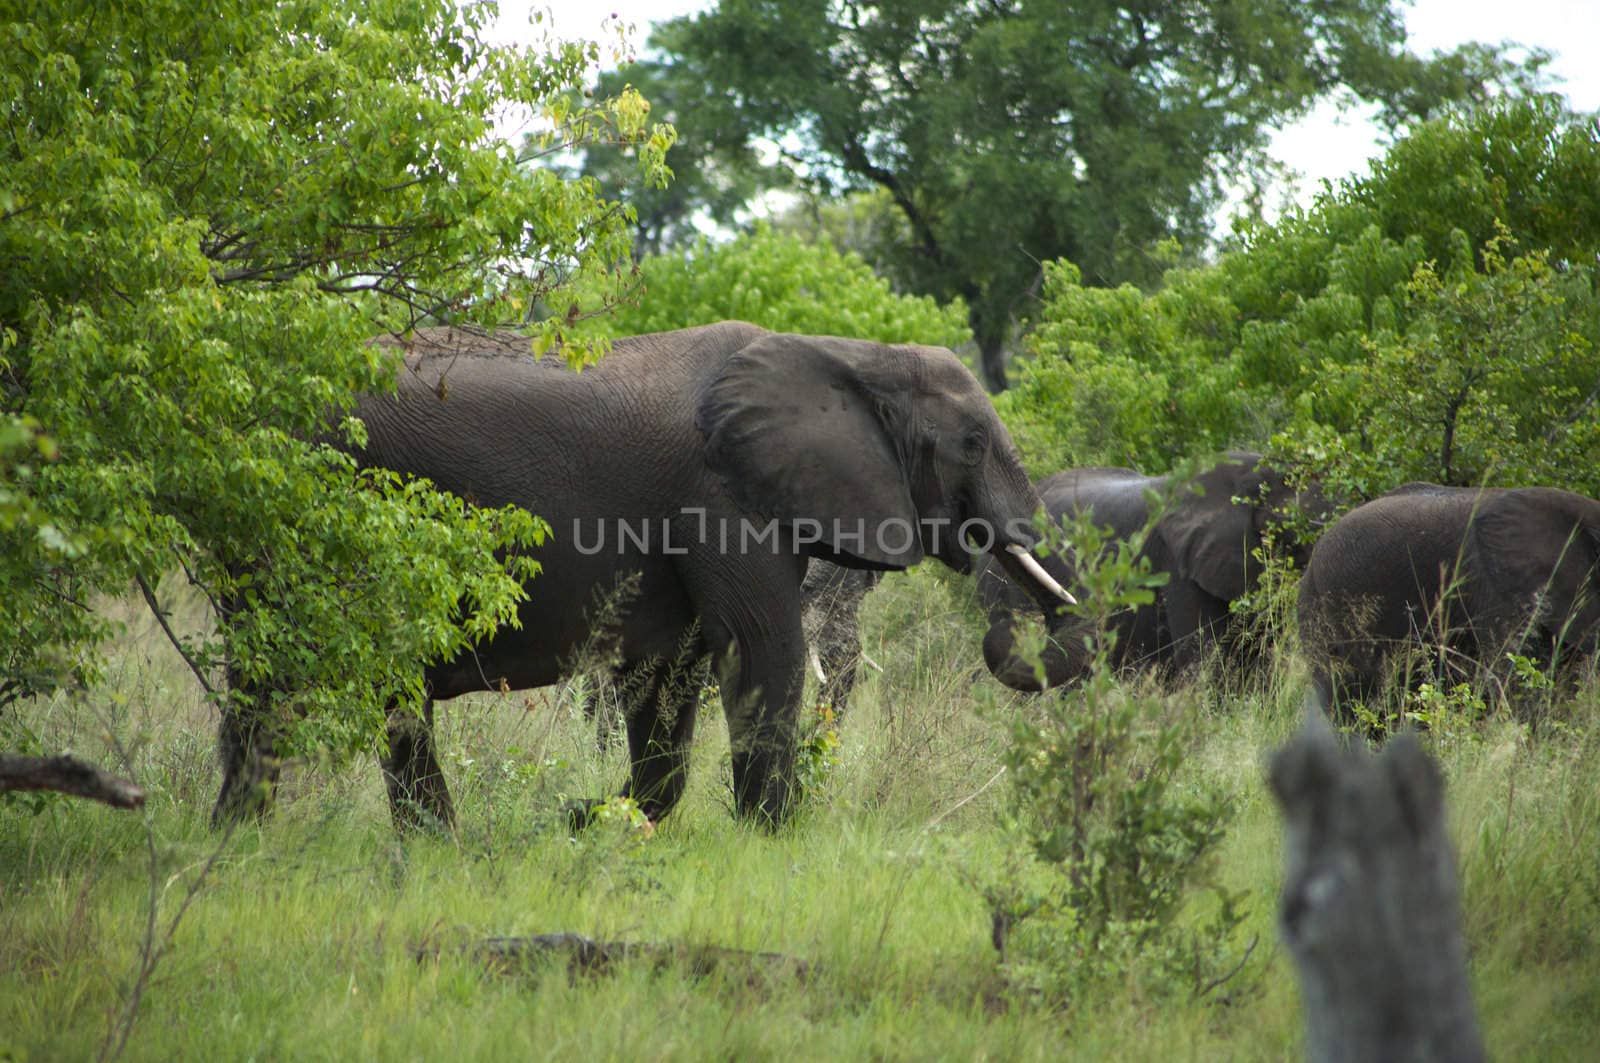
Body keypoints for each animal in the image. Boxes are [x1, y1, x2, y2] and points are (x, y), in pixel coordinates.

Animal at [206, 321, 1068, 832]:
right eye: (971, 443)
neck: (855, 356)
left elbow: (668, 677)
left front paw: (595, 818)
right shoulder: (721, 492)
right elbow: (762, 650)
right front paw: (772, 841)